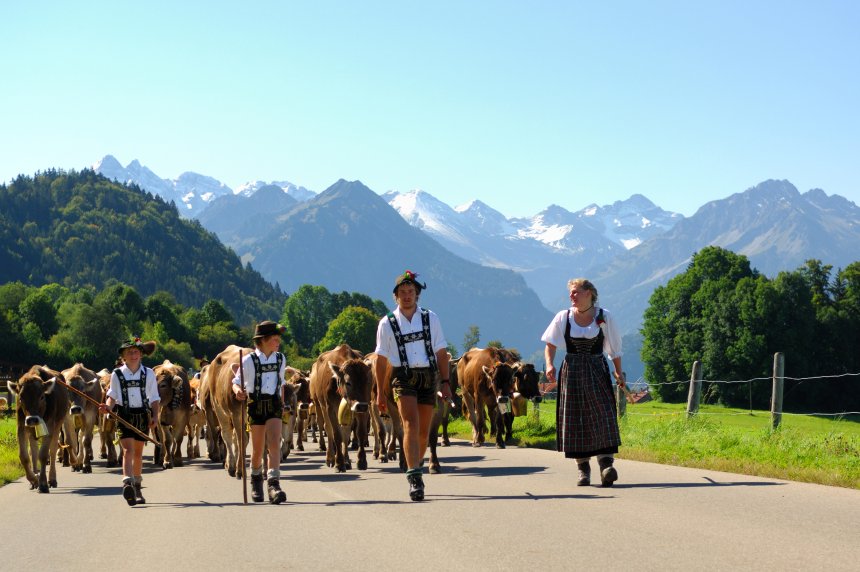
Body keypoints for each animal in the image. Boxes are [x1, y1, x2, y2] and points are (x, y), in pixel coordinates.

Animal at [312, 344, 372, 474]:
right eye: (348, 382)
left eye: (368, 381)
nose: (361, 405)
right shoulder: (330, 407)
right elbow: (336, 434)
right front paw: (338, 463)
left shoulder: (363, 407)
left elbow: (359, 432)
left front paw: (361, 461)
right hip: (321, 405)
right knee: (328, 428)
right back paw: (330, 458)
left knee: (346, 430)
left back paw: (347, 461)